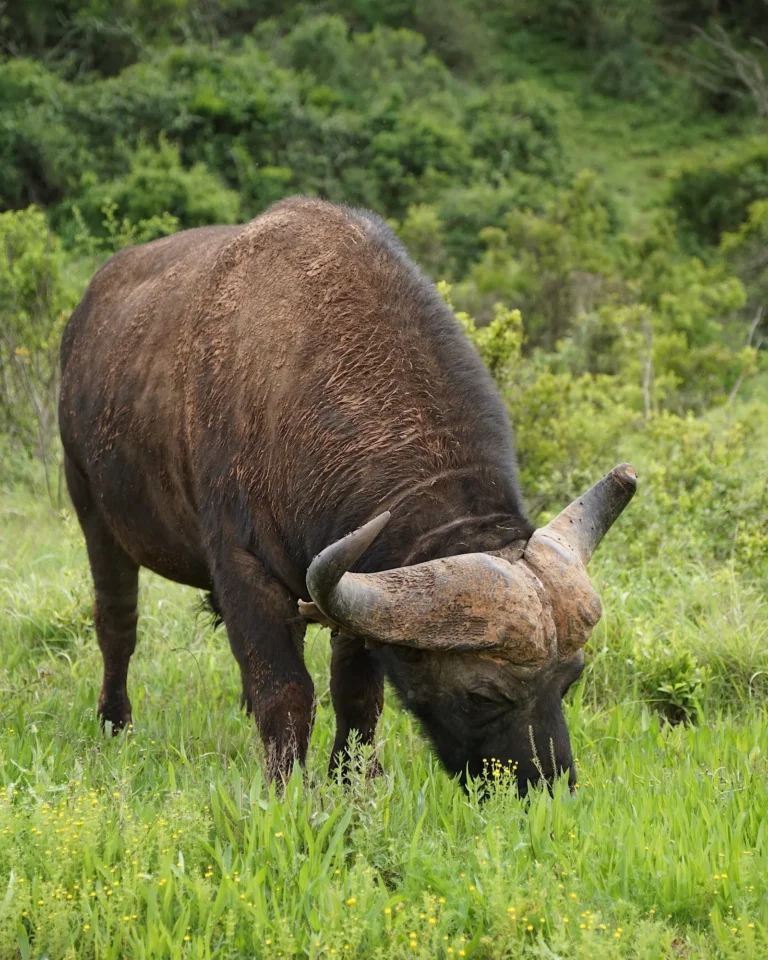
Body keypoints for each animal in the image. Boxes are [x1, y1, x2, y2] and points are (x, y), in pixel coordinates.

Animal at [59, 197, 636, 794]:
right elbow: (287, 691)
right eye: (482, 695)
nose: (549, 785)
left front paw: (354, 779)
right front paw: (285, 787)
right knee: (117, 624)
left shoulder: (359, 585)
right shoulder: (245, 570)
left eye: (571, 678)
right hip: (92, 509)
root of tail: (82, 319)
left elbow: (356, 691)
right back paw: (114, 720)